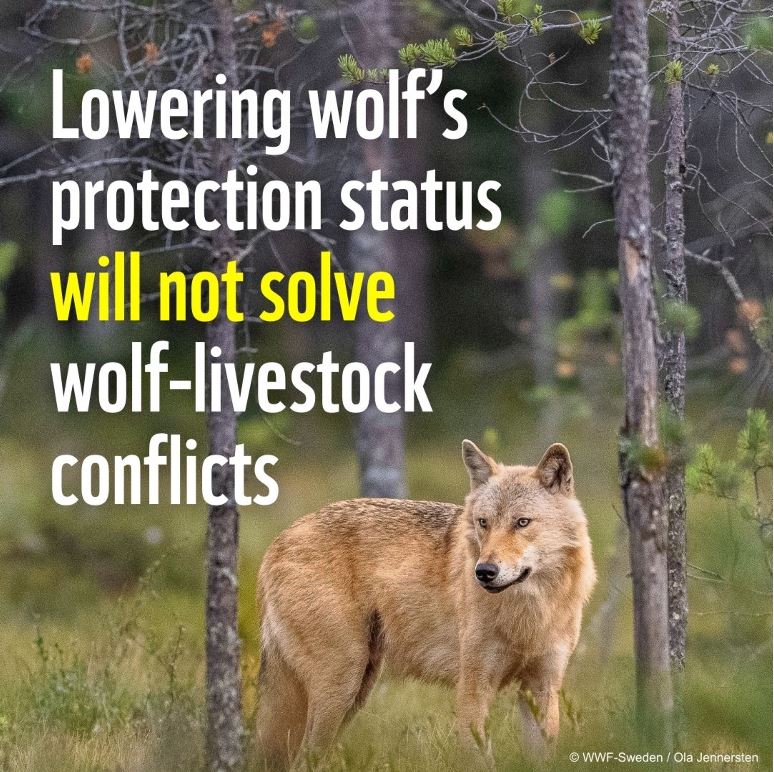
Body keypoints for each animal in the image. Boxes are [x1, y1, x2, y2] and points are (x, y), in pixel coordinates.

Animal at [256, 441, 596, 766]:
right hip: (341, 687)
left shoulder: (541, 688)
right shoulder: (473, 688)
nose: (484, 572)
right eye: (483, 523)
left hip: (355, 690)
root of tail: (277, 542)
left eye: (522, 522)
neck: (529, 612)